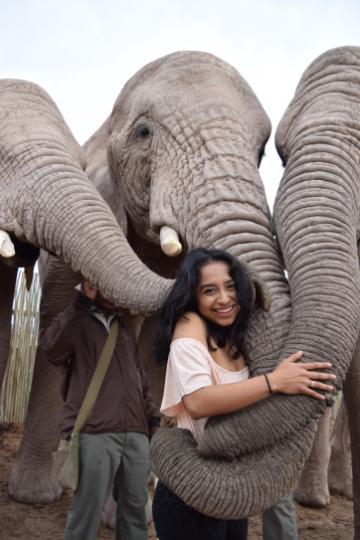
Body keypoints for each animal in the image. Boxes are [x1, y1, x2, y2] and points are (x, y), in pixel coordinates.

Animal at [6, 48, 298, 508]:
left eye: (262, 153)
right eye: (143, 132)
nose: (253, 285)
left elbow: (158, 352)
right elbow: (56, 323)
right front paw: (35, 497)